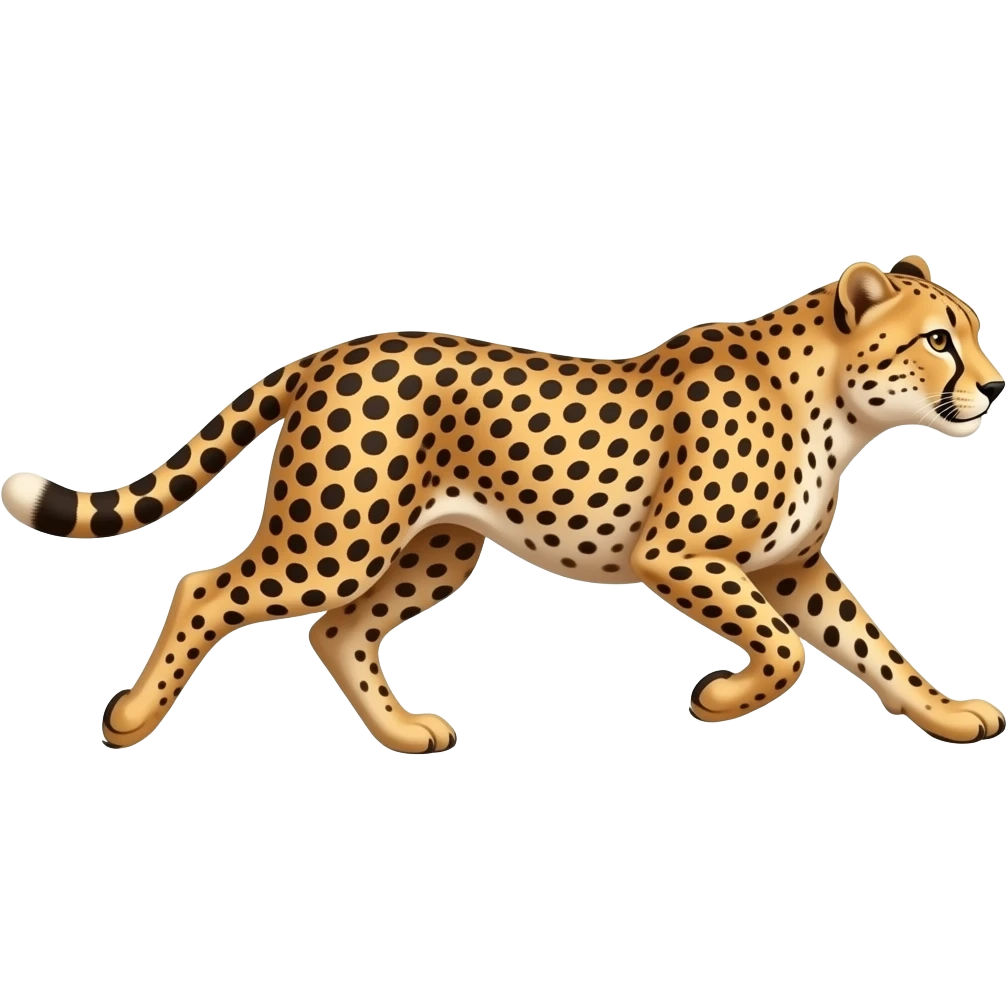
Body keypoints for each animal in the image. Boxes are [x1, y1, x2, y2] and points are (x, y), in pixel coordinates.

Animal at [3, 256, 1004, 751]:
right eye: (936, 341)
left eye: (975, 331)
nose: (996, 387)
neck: (838, 401)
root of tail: (331, 352)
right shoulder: (681, 555)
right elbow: (787, 652)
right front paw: (721, 699)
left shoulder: (794, 568)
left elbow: (876, 649)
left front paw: (952, 716)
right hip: (332, 540)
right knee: (206, 588)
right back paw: (130, 721)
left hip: (436, 547)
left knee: (338, 630)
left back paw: (404, 732)